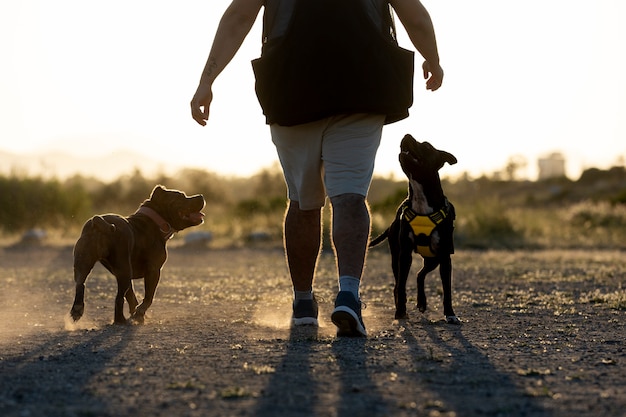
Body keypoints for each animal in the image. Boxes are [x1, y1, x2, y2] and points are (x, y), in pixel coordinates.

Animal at [70, 185, 205, 324]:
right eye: (182, 196)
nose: (201, 196)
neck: (156, 221)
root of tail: (98, 221)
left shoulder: (121, 274)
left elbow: (131, 296)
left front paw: (137, 314)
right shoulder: (153, 271)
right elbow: (149, 296)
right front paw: (139, 313)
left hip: (84, 263)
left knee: (80, 284)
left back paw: (77, 310)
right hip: (124, 270)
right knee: (118, 298)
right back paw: (120, 320)